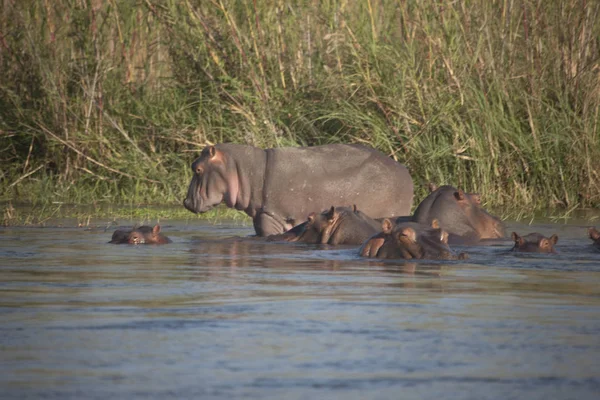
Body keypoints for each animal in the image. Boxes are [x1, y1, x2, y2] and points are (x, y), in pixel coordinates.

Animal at [183, 144, 414, 236]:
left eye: (197, 168)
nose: (185, 202)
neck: (245, 170)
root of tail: (405, 171)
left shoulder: (271, 216)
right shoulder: (261, 216)